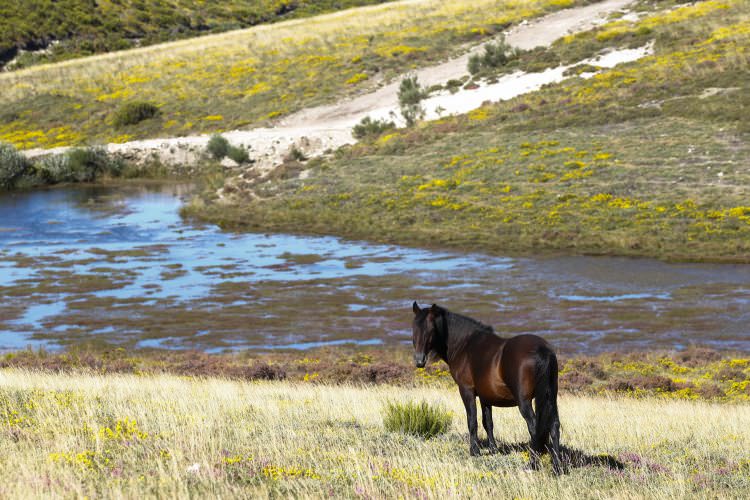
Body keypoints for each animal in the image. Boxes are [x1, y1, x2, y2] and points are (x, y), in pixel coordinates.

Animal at [412, 300, 564, 472]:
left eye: (431, 330)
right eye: (414, 328)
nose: (419, 361)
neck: (465, 345)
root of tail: (542, 350)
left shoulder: (466, 391)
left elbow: (472, 421)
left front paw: (474, 451)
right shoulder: (486, 396)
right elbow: (488, 422)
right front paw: (493, 449)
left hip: (524, 402)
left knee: (534, 427)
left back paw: (532, 464)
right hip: (550, 398)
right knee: (554, 426)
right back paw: (557, 466)